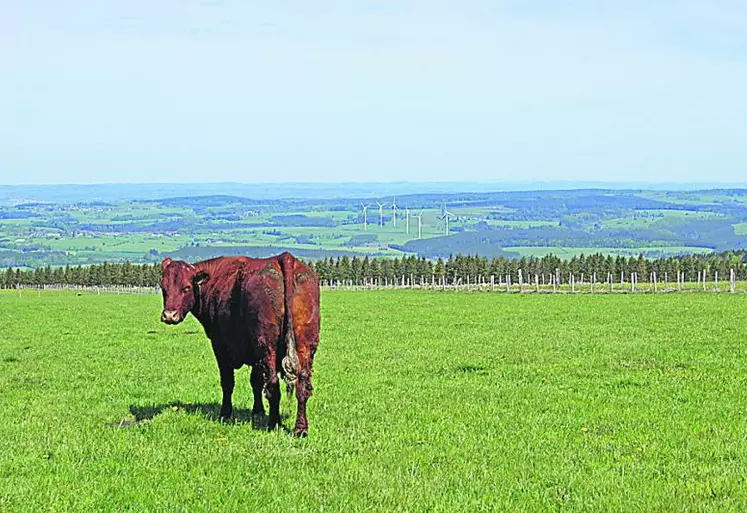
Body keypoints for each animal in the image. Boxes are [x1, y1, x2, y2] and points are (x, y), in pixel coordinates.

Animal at [159, 252, 320, 436]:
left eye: (186, 288)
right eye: (163, 288)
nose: (169, 315)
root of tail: (284, 257)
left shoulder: (220, 347)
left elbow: (228, 383)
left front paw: (225, 414)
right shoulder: (255, 355)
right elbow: (256, 381)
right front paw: (258, 411)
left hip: (267, 346)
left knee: (273, 385)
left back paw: (274, 424)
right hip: (306, 346)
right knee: (302, 386)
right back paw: (300, 428)